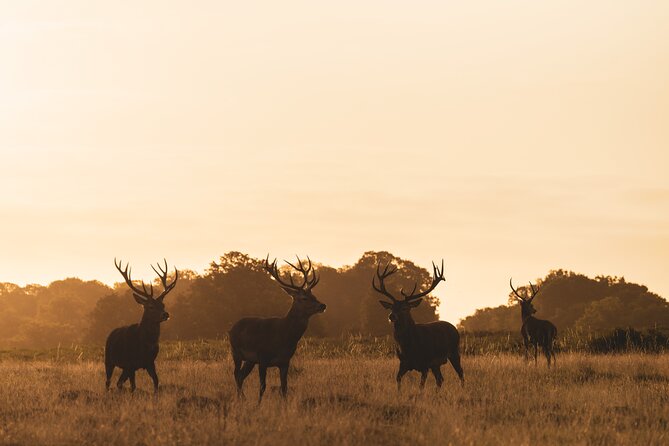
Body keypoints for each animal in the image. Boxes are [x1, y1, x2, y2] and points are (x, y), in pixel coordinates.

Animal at [104, 260, 177, 392]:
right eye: (151, 306)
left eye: (163, 305)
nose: (166, 314)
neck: (144, 345)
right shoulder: (130, 363)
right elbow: (133, 386)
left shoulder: (150, 362)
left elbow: (156, 382)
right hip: (108, 360)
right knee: (109, 382)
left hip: (124, 367)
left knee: (118, 383)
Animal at [228, 256, 324, 402]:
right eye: (304, 298)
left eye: (314, 296)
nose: (322, 305)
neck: (284, 336)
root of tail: (231, 328)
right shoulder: (262, 358)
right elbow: (263, 387)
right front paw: (258, 404)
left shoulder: (285, 362)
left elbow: (284, 388)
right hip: (236, 352)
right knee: (236, 374)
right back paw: (240, 399)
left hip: (250, 360)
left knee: (240, 376)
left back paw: (242, 399)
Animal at [374, 262, 462, 390]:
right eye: (392, 307)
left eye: (405, 308)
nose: (391, 316)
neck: (409, 347)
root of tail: (454, 328)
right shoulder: (403, 363)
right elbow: (398, 380)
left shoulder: (425, 363)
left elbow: (421, 386)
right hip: (436, 364)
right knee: (440, 379)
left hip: (454, 352)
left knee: (460, 374)